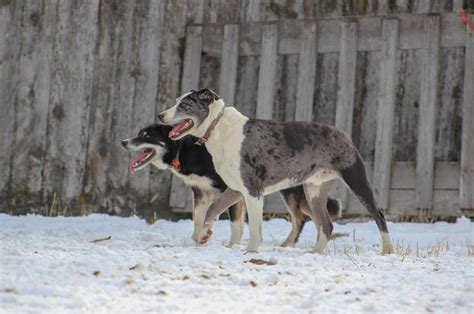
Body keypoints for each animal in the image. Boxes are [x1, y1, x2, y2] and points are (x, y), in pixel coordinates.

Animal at [118, 124, 340, 247]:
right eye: (140, 133)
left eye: (146, 136)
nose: (123, 142)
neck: (184, 149)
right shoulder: (201, 193)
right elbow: (199, 219)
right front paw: (196, 240)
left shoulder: (235, 190)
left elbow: (234, 222)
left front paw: (232, 245)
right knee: (317, 219)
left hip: (292, 192)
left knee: (301, 219)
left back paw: (288, 245)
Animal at [157, 88, 394, 255]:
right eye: (177, 100)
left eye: (185, 104)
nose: (160, 115)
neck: (217, 128)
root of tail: (342, 133)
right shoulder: (235, 189)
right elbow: (212, 210)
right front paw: (204, 235)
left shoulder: (252, 191)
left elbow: (254, 226)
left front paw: (250, 251)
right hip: (314, 192)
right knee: (326, 225)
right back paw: (315, 252)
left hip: (356, 180)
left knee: (379, 216)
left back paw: (387, 250)